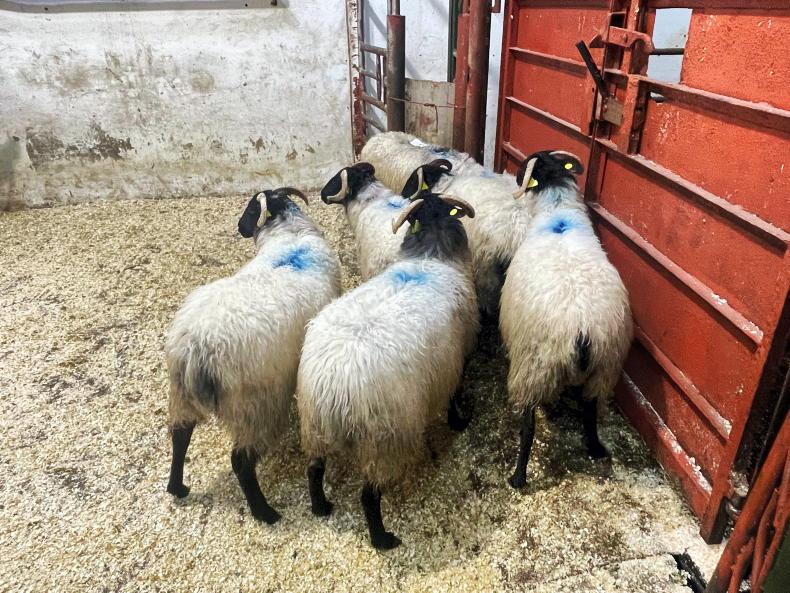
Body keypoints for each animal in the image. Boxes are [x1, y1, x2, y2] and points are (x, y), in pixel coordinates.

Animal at [165, 187, 342, 523]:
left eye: (249, 210)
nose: (239, 227)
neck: (290, 237)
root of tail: (198, 348)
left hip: (182, 393)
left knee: (180, 435)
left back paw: (177, 487)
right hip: (254, 405)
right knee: (240, 461)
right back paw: (265, 512)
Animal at [296, 192, 480, 549]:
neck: (430, 257)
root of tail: (332, 388)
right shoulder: (456, 360)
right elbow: (455, 396)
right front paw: (459, 421)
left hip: (314, 427)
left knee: (313, 470)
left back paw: (321, 507)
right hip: (383, 440)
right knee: (368, 497)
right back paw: (383, 538)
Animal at [499, 151, 633, 489]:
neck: (557, 215)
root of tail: (582, 330)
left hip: (532, 367)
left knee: (529, 427)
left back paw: (518, 477)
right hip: (605, 367)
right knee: (590, 411)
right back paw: (596, 448)